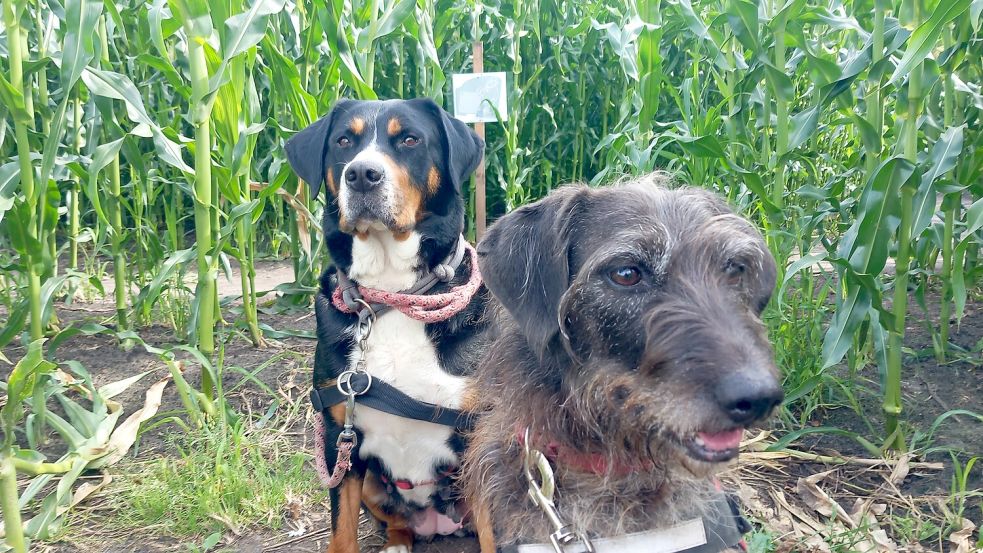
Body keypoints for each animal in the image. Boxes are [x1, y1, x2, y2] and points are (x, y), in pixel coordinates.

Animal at [286, 100, 492, 552]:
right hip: (370, 484)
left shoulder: (478, 433)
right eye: (344, 140)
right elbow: (341, 531)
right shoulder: (340, 437)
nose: (362, 174)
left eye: (410, 139)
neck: (393, 294)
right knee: (397, 521)